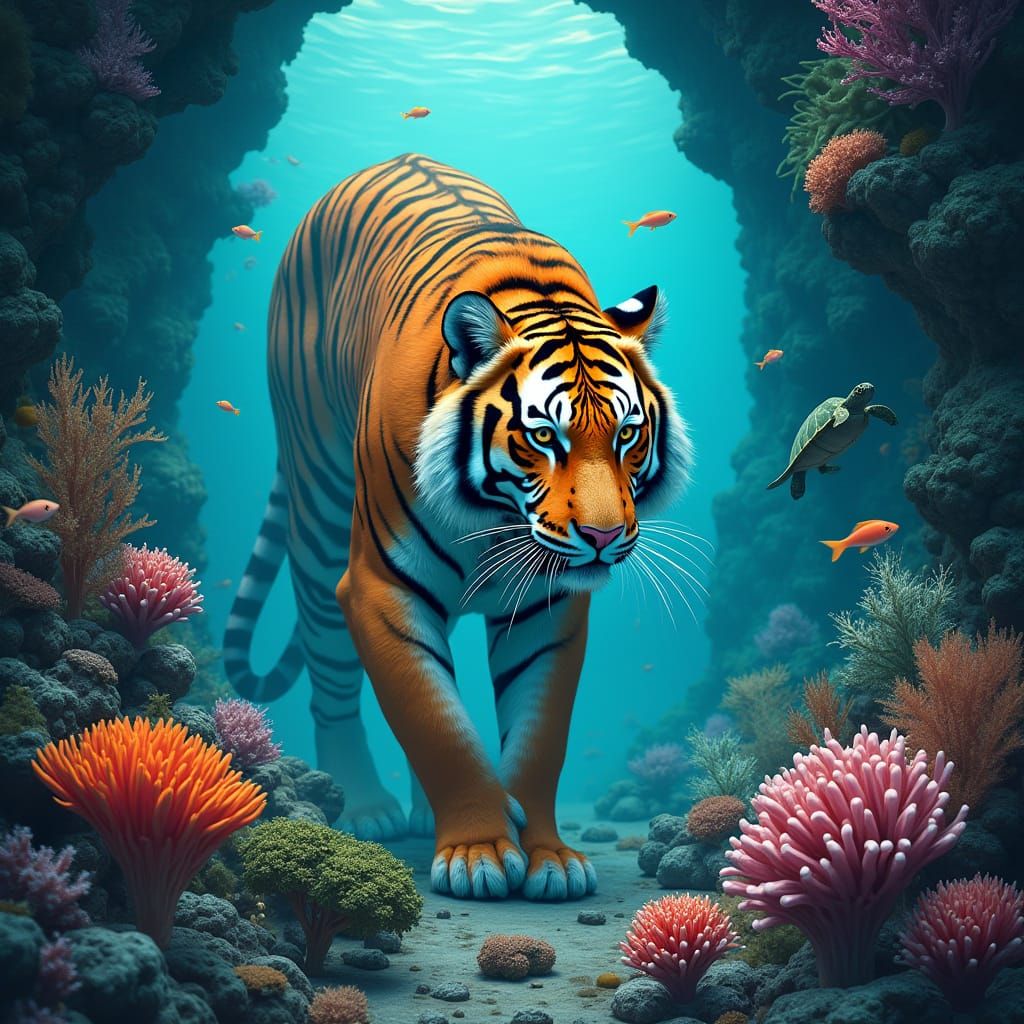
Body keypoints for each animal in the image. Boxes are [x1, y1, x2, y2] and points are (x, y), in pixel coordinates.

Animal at [225, 153, 692, 901]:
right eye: (544, 436)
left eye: (627, 434)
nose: (601, 538)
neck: (498, 521)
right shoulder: (380, 589)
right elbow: (434, 722)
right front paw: (477, 852)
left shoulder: (548, 609)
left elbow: (536, 738)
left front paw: (549, 858)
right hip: (319, 507)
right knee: (333, 677)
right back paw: (367, 807)